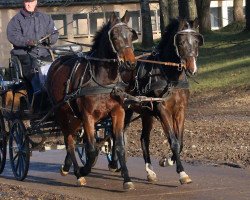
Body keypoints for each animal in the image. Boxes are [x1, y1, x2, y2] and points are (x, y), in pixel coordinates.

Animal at [46, 11, 138, 190]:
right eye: (114, 36)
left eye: (131, 35)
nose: (130, 63)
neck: (103, 81)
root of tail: (56, 62)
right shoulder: (88, 116)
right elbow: (91, 148)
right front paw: (84, 170)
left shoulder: (118, 112)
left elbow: (119, 146)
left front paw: (127, 179)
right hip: (62, 113)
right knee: (69, 141)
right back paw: (77, 173)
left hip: (74, 117)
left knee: (72, 138)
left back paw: (66, 167)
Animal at [125, 18, 203, 184]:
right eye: (180, 42)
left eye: (196, 41)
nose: (192, 68)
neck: (170, 76)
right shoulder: (162, 110)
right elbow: (173, 140)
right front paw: (182, 173)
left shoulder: (180, 110)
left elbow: (179, 141)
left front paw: (167, 161)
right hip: (126, 110)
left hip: (146, 114)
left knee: (144, 139)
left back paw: (150, 171)